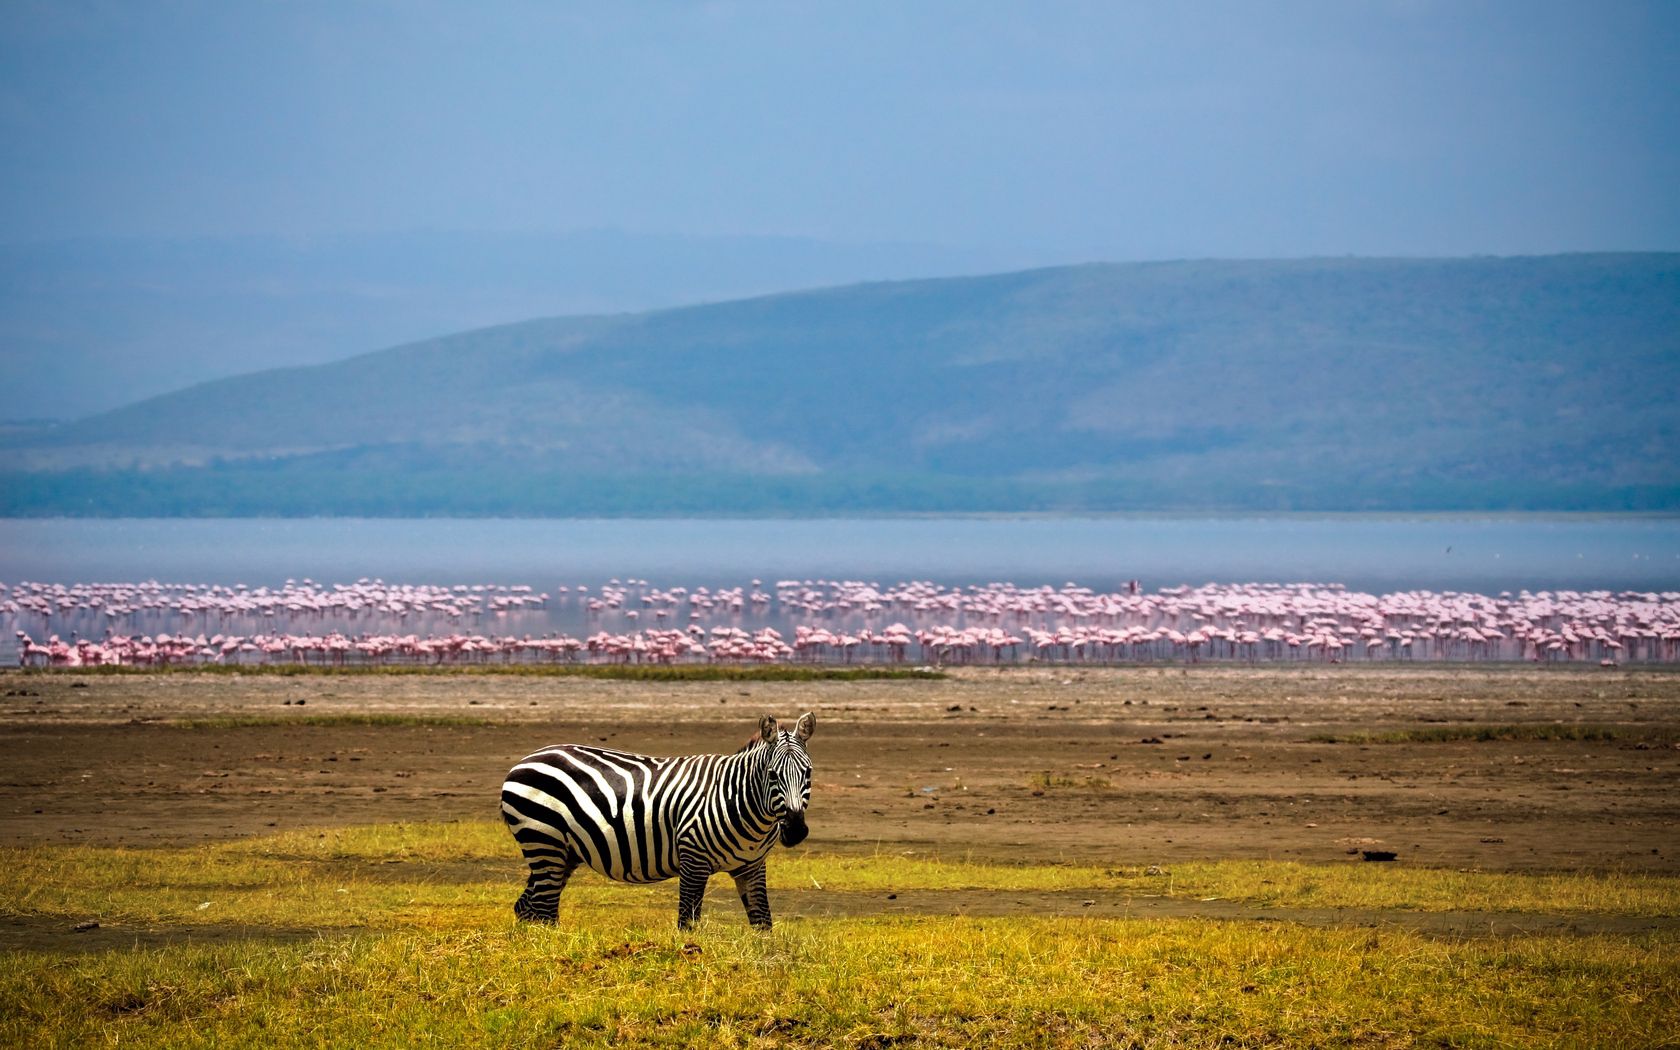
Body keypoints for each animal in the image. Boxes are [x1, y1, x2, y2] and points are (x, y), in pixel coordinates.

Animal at [497, 712, 813, 927]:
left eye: (808, 772)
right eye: (772, 775)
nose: (796, 830)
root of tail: (525, 760)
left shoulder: (752, 866)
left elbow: (763, 923)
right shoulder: (693, 859)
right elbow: (687, 922)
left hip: (562, 851)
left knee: (527, 907)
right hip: (543, 839)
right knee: (545, 910)